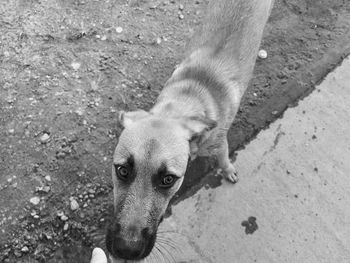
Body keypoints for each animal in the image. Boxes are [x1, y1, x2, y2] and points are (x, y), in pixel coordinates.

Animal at [106, 0, 274, 260]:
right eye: (122, 170)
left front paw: (228, 170)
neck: (189, 95)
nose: (126, 250)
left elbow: (224, 159)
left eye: (168, 179)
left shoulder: (220, 143)